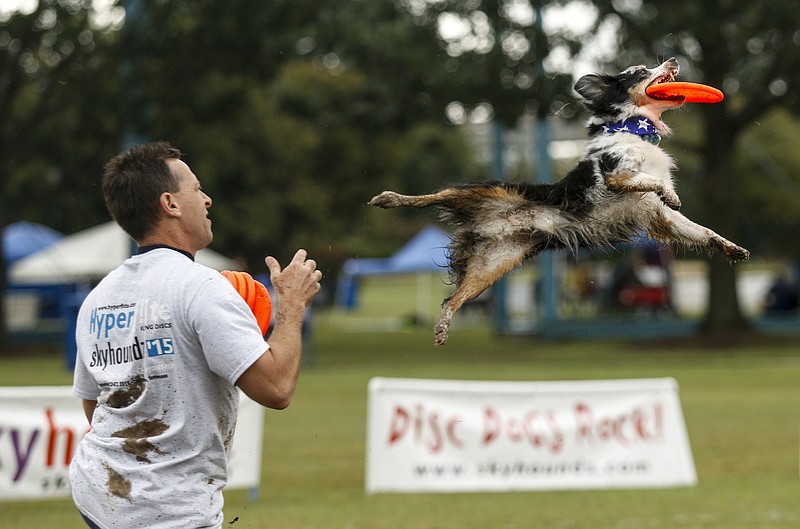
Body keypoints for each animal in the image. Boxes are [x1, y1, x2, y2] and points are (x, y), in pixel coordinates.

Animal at [368, 57, 752, 346]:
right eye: (641, 71)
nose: (672, 59)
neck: (632, 130)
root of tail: (489, 224)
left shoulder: (659, 216)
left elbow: (700, 230)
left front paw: (729, 246)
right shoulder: (617, 176)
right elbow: (653, 182)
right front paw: (671, 193)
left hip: (492, 267)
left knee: (452, 300)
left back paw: (443, 327)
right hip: (484, 190)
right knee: (437, 194)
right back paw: (388, 198)